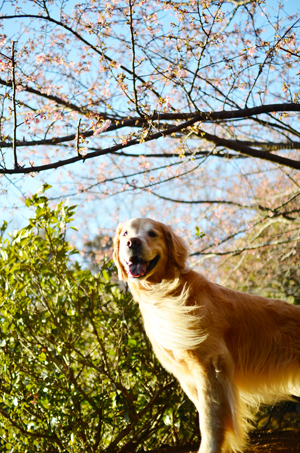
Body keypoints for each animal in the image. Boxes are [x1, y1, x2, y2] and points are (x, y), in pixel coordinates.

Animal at [113, 217, 300, 450]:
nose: (132, 242)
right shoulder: (186, 376)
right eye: (125, 234)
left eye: (152, 234)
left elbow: (210, 419)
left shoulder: (210, 364)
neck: (163, 292)